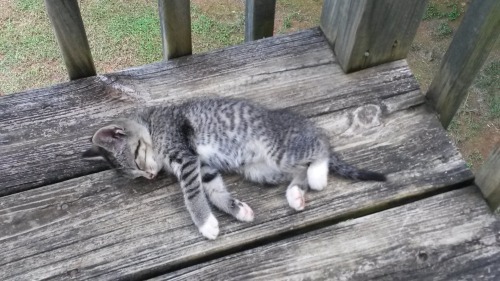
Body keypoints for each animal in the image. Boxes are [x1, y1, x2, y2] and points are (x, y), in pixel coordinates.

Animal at [84, 98, 384, 238]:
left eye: (136, 160)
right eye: (136, 173)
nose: (148, 176)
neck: (152, 123)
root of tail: (300, 122)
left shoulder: (186, 157)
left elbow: (191, 195)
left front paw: (205, 224)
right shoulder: (203, 166)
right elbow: (213, 191)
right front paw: (237, 210)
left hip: (278, 151)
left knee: (320, 144)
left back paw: (318, 174)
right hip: (261, 169)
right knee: (298, 170)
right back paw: (295, 195)